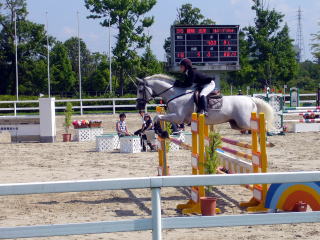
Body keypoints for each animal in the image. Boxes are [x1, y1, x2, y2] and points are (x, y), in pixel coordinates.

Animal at [136, 74, 276, 132]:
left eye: (141, 90)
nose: (138, 106)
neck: (174, 94)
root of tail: (250, 99)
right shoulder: (175, 117)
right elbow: (161, 118)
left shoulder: (177, 117)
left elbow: (157, 117)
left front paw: (160, 131)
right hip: (236, 124)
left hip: (244, 121)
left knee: (260, 125)